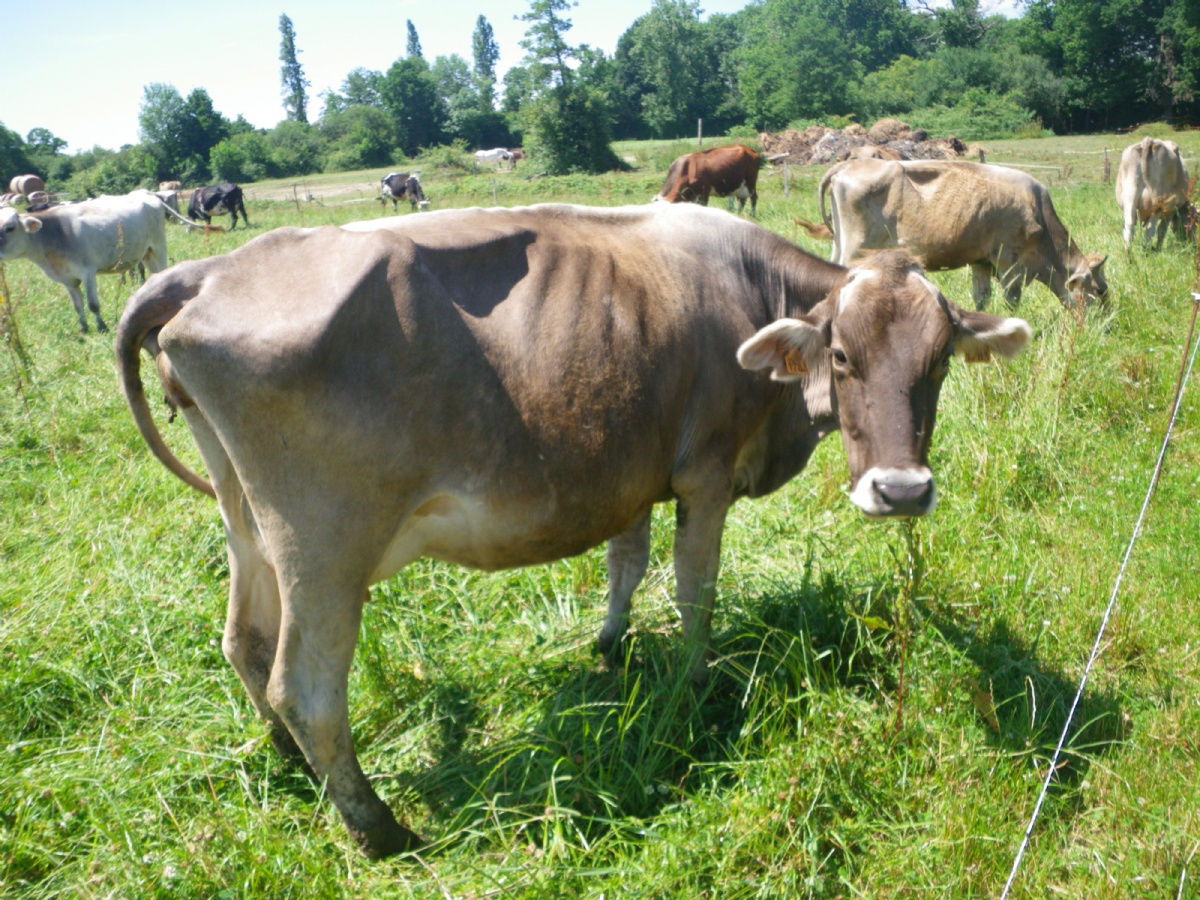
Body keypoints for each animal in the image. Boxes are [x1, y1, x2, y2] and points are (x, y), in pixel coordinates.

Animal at [0, 188, 189, 333]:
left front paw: (101, 326)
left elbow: (92, 304)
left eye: (9, 228)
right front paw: (83, 328)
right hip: (146, 253)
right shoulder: (68, 280)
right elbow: (77, 305)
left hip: (158, 246)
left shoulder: (87, 272)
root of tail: (145, 193)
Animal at [114, 204, 1032, 859]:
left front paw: (610, 647)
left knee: (244, 642)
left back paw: (287, 763)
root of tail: (204, 272)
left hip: (246, 520)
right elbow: (694, 588)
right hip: (325, 546)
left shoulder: (630, 474)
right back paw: (379, 829)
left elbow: (626, 564)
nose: (902, 490)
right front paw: (696, 685)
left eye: (939, 362)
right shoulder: (703, 473)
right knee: (303, 686)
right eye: (841, 357)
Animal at [816, 157, 1104, 309]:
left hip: (840, 245)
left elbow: (982, 298)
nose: (1106, 326)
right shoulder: (1009, 263)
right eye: (1099, 290)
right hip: (856, 250)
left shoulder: (981, 261)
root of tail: (847, 166)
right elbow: (1012, 299)